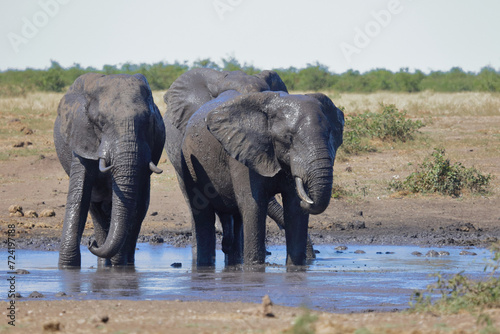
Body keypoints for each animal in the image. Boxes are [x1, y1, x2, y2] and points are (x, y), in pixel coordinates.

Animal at [53, 73, 166, 268]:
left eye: (147, 122)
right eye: (101, 123)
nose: (90, 242)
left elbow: (135, 204)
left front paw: (118, 265)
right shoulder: (81, 136)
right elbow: (79, 195)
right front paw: (67, 268)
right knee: (95, 208)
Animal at [164, 68, 344, 266]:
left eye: (330, 134)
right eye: (288, 137)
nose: (309, 199)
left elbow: (295, 208)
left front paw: (297, 267)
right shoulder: (239, 151)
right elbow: (253, 205)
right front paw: (254, 267)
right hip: (188, 161)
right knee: (202, 214)